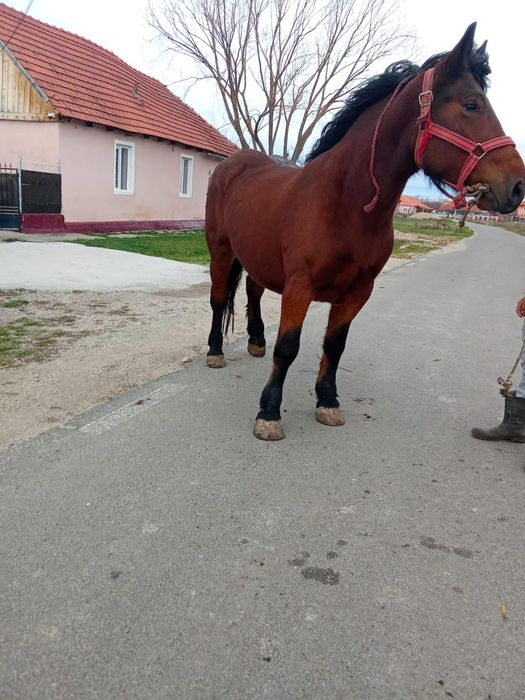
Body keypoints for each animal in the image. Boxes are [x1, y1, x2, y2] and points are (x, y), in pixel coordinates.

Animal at [204, 23, 525, 441]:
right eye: (472, 105)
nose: (517, 186)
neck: (346, 203)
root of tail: (234, 161)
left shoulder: (358, 291)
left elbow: (334, 346)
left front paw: (328, 401)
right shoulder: (300, 286)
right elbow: (288, 348)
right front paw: (269, 412)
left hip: (256, 255)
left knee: (254, 291)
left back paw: (256, 340)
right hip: (220, 250)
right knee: (217, 300)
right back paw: (215, 352)